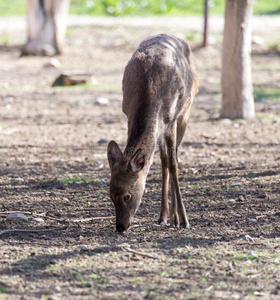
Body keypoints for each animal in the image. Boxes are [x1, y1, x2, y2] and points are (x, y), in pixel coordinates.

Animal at [107, 34, 199, 233]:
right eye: (110, 195)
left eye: (127, 196)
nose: (120, 226)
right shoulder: (129, 114)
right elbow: (165, 163)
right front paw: (170, 217)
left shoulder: (171, 120)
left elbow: (174, 165)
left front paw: (184, 220)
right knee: (163, 161)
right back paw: (164, 217)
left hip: (186, 111)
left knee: (173, 159)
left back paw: (175, 218)